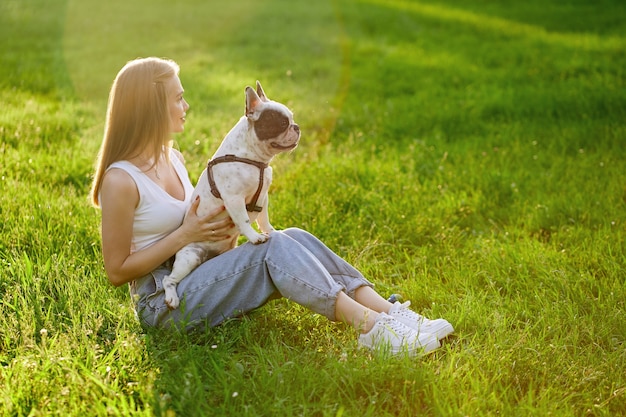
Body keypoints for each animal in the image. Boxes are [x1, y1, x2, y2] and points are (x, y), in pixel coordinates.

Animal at [161, 81, 298, 308]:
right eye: (281, 123)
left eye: (292, 119)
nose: (297, 127)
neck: (252, 158)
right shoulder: (234, 199)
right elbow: (244, 219)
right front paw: (255, 237)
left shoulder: (264, 197)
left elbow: (263, 218)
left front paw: (271, 231)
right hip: (189, 258)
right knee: (168, 280)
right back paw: (171, 298)